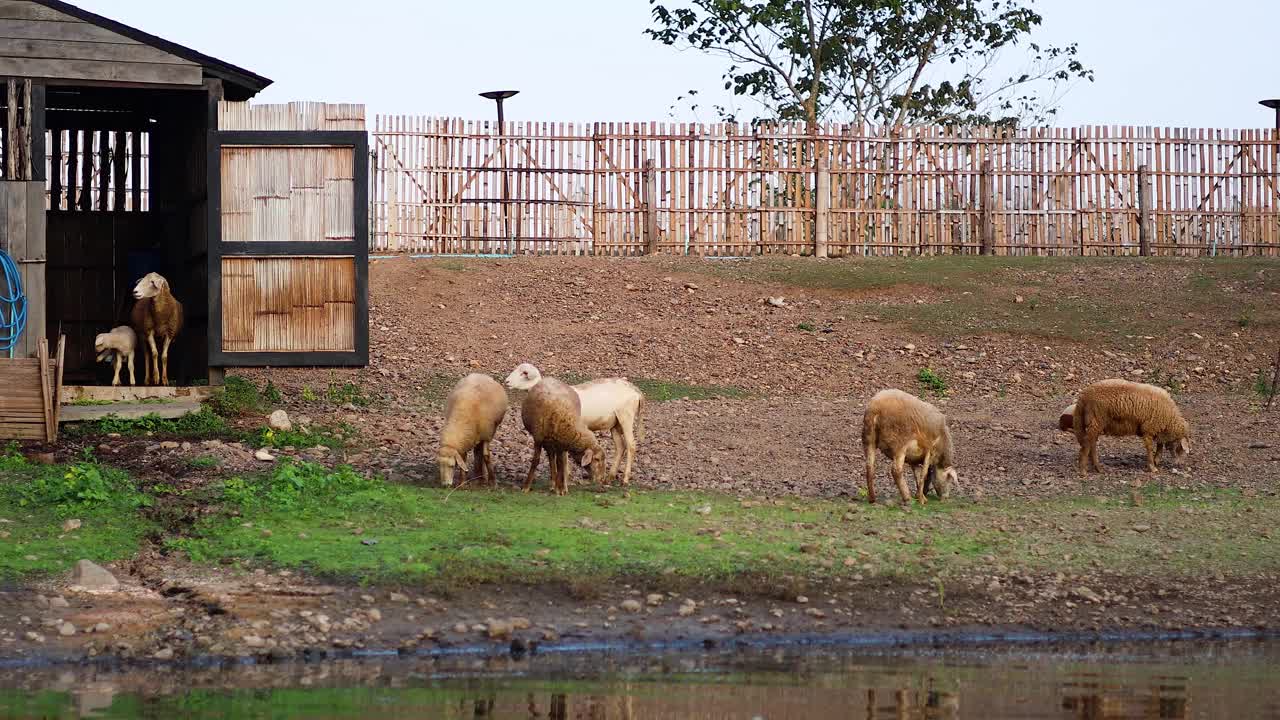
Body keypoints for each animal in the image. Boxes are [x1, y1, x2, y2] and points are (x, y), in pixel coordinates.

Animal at [504, 361, 645, 484]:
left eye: (524, 373)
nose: (506, 381)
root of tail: (636, 390)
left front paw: (565, 476)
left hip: (626, 417)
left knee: (631, 445)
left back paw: (625, 479)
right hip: (615, 423)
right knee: (620, 446)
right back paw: (610, 477)